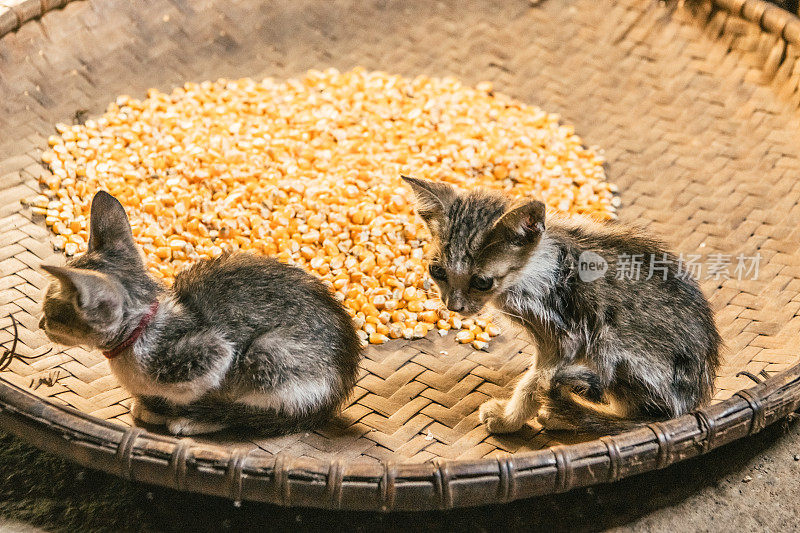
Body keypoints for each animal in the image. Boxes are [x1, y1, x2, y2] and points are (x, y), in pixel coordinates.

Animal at [40, 191, 360, 436]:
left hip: (267, 353)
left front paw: (181, 414)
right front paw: (150, 405)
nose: (41, 323)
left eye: (53, 313)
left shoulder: (216, 353)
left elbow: (205, 393)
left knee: (262, 413)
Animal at [404, 177, 720, 434]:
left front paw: (509, 420)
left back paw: (568, 415)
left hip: (608, 345)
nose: (453, 305)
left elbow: (534, 383)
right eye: (437, 271)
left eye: (482, 282)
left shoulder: (564, 339)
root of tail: (692, 402)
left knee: (639, 416)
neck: (536, 267)